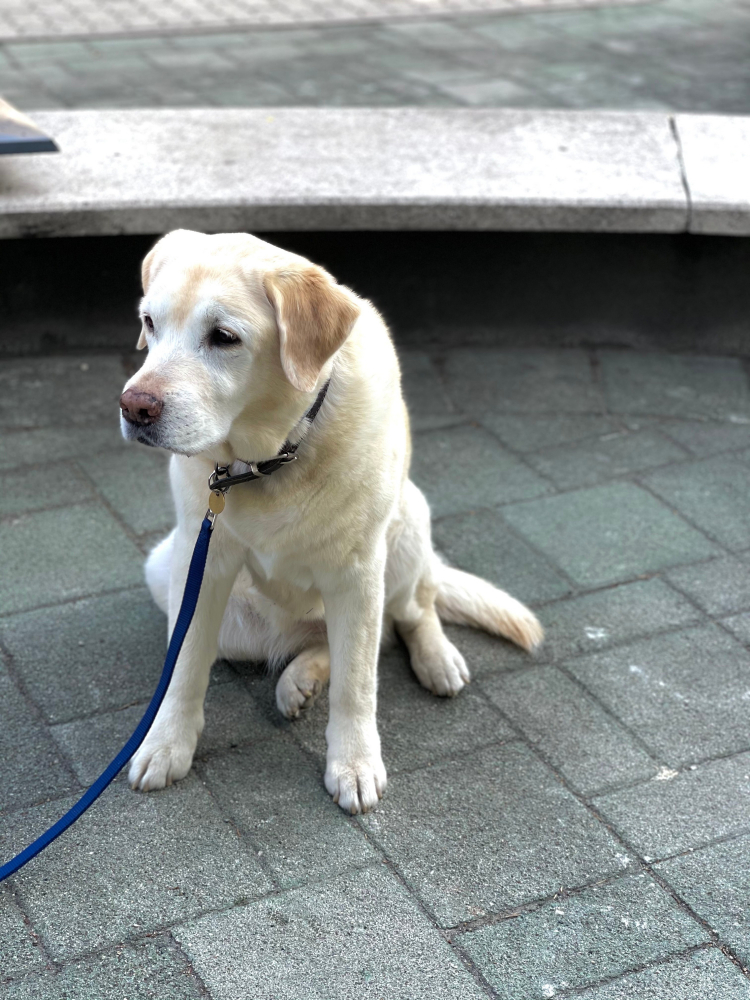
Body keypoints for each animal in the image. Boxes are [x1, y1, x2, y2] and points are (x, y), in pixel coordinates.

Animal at [119, 229, 543, 814]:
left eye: (224, 337)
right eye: (150, 323)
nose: (133, 407)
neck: (269, 459)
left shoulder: (358, 574)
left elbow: (357, 684)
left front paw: (355, 765)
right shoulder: (200, 558)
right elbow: (182, 669)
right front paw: (166, 746)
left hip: (408, 524)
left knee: (410, 613)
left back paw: (435, 660)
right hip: (171, 573)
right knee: (318, 643)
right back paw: (299, 680)